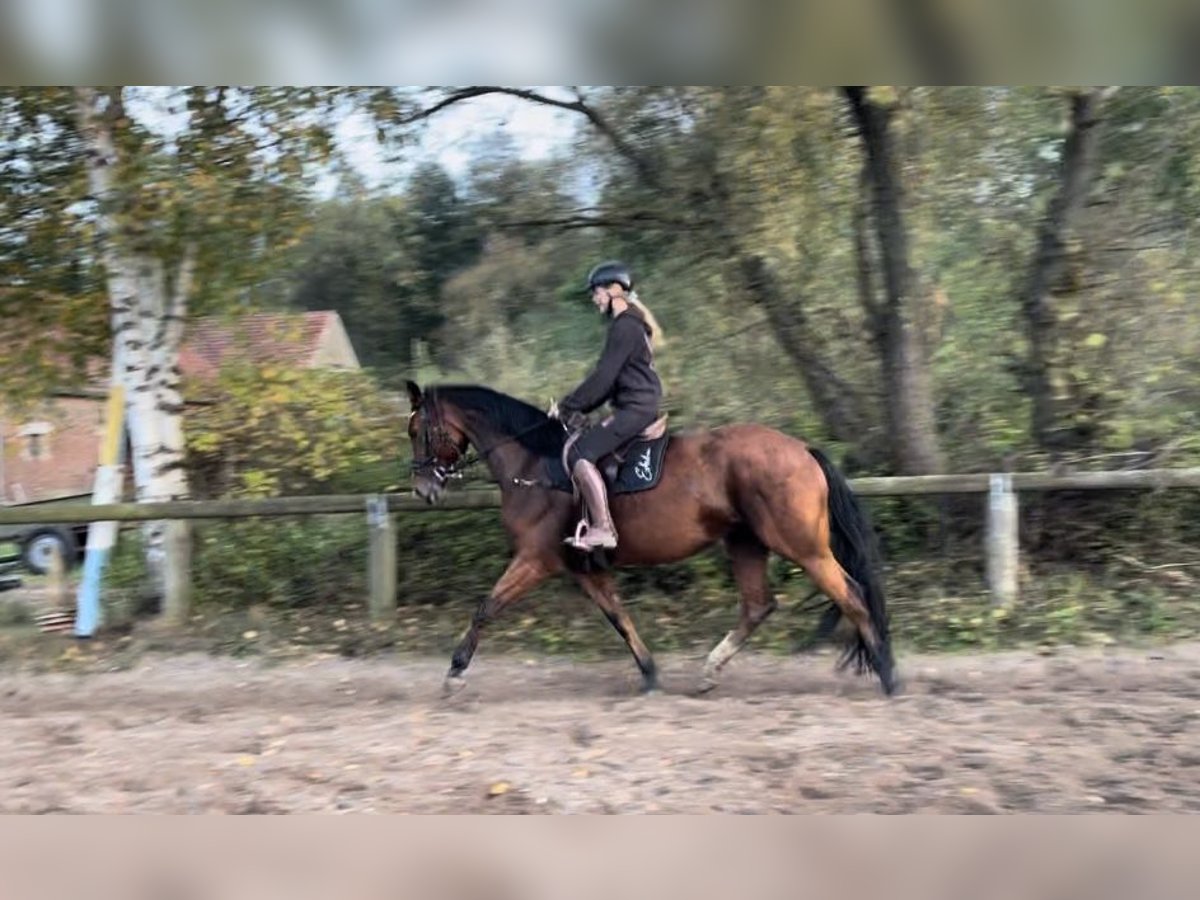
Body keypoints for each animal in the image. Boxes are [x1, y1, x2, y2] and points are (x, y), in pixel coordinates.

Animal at [408, 381, 897, 696]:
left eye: (417, 431)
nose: (423, 489)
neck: (533, 464)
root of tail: (802, 449)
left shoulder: (535, 559)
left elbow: (486, 608)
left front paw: (455, 672)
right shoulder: (581, 568)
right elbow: (618, 617)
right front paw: (649, 672)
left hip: (802, 546)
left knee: (851, 594)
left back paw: (889, 675)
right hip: (745, 543)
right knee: (759, 605)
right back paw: (710, 671)